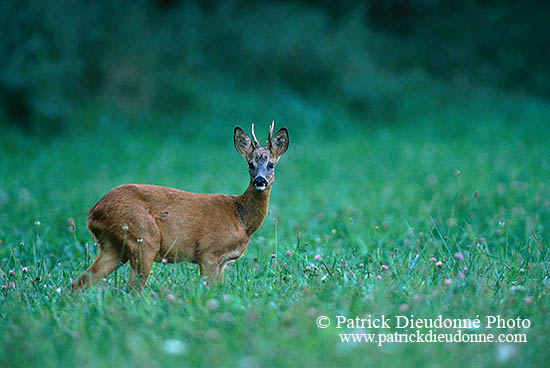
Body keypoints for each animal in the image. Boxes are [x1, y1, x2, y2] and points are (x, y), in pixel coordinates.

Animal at [71, 122, 292, 292]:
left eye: (271, 164)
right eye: (250, 165)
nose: (260, 180)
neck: (240, 217)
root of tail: (94, 212)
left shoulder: (222, 261)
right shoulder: (208, 252)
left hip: (113, 247)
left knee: (79, 283)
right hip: (144, 238)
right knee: (133, 290)